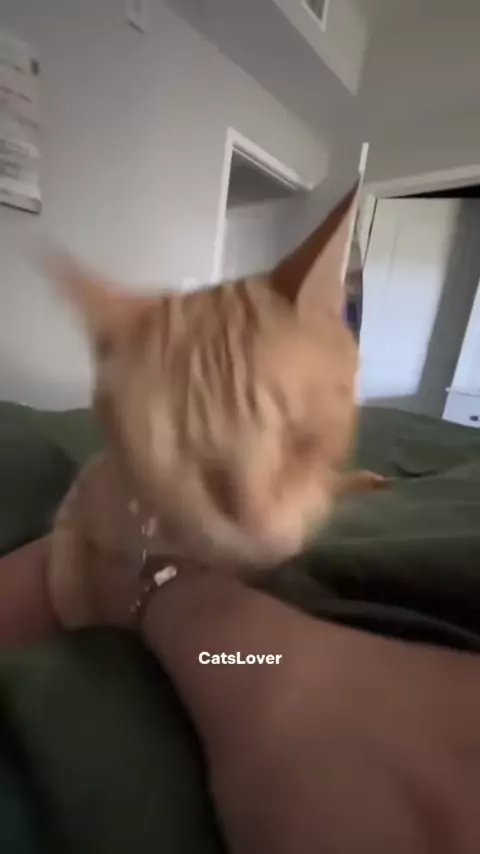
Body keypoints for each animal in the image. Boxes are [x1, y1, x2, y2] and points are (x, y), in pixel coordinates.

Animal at [47, 185, 384, 628]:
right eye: (185, 461)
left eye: (303, 439)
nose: (257, 527)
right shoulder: (85, 490)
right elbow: (65, 566)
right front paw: (74, 600)